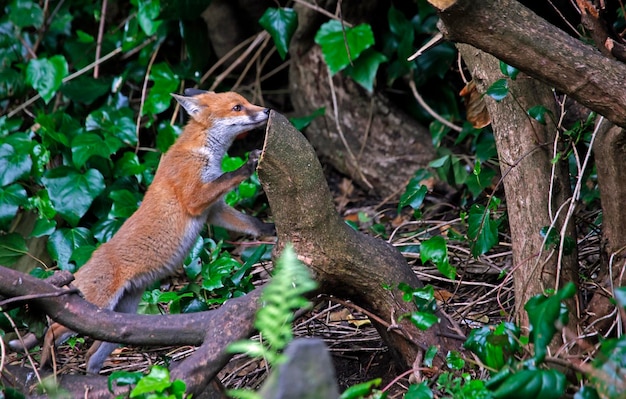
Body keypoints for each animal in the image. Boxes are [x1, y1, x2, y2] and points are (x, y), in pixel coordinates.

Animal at [12, 90, 272, 376]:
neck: (203, 152)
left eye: (246, 101)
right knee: (51, 330)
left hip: (117, 320)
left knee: (92, 354)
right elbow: (229, 177)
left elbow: (250, 223)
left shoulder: (213, 211)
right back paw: (46, 367)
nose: (267, 111)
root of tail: (82, 267)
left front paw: (269, 229)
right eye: (237, 107)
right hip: (94, 308)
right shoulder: (195, 199)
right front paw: (248, 164)